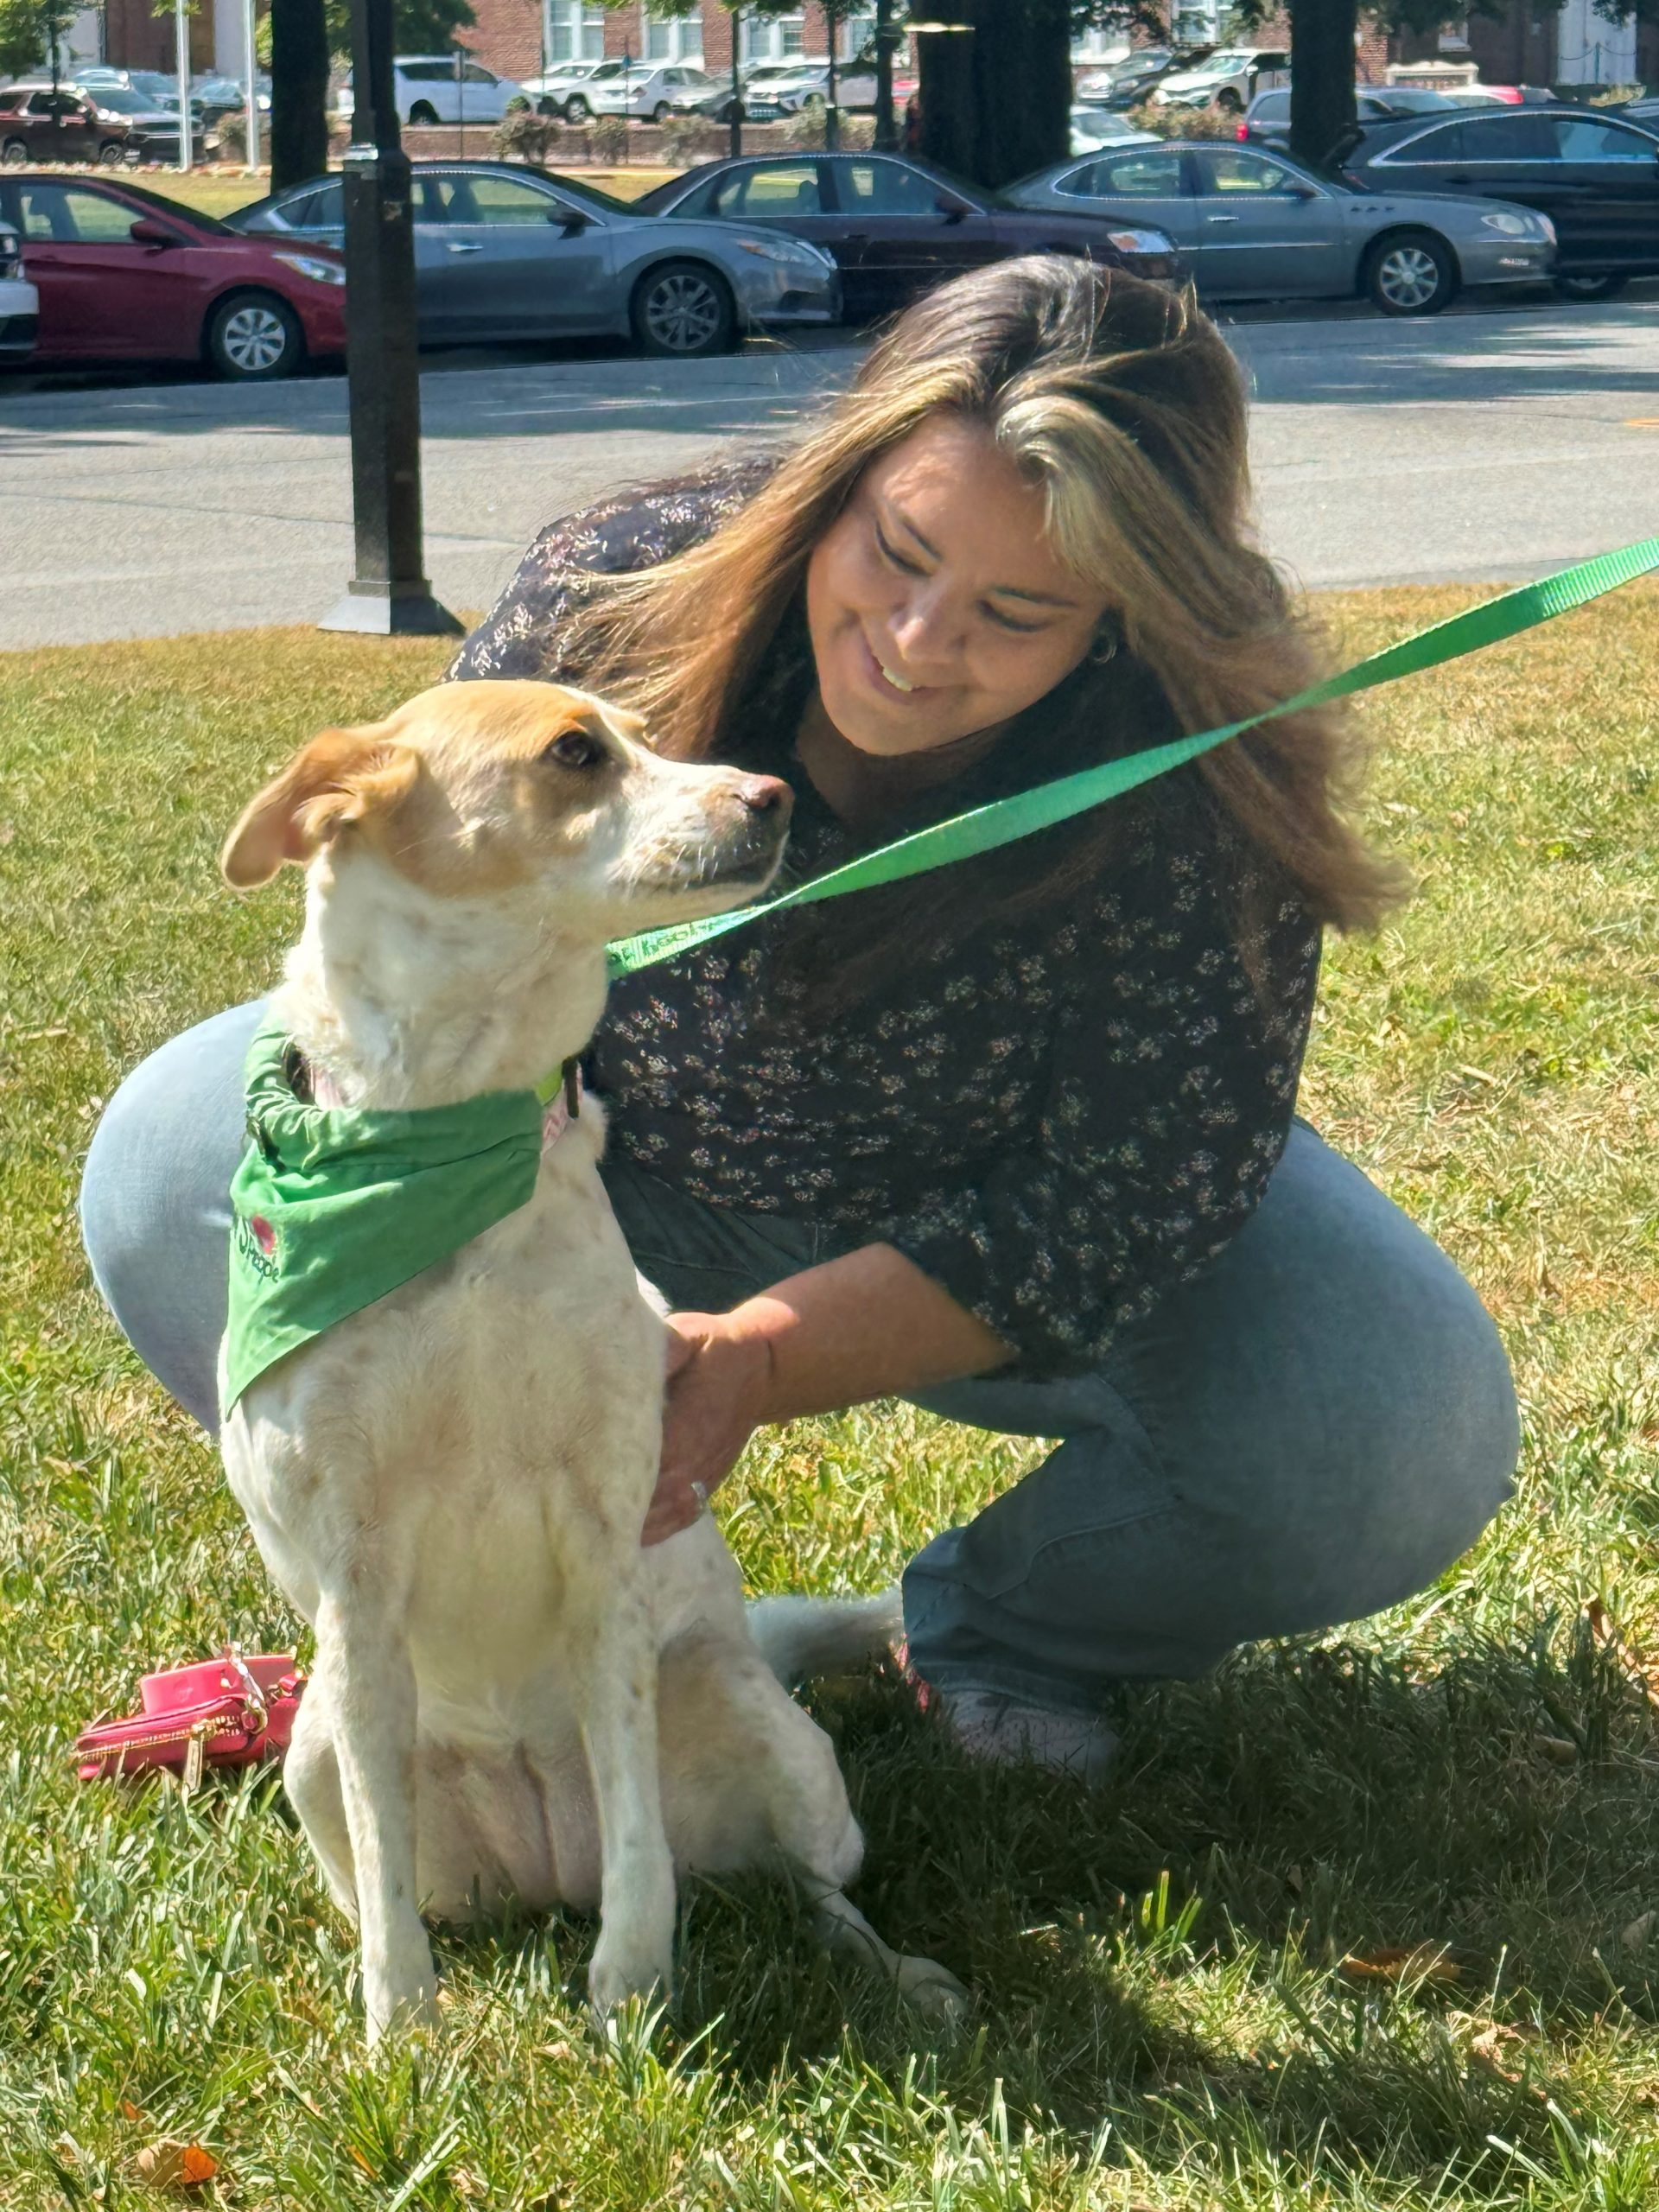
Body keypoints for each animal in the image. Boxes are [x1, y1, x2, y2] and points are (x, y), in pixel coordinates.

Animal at [215, 681, 969, 2044]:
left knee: (805, 1887)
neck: (456, 1135)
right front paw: (401, 2034)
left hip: (771, 1735)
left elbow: (637, 1834)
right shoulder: (356, 1580)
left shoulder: (604, 1536)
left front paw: (632, 1986)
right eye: (577, 752)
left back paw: (893, 1974)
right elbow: (390, 1889)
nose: (774, 795)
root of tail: (542, 1863)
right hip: (312, 1754)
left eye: (648, 734)